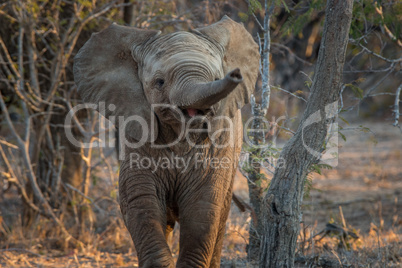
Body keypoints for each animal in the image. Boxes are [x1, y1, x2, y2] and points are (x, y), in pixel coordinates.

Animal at [73, 15, 260, 266]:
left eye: (216, 78)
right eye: (160, 82)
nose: (235, 75)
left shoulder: (218, 144)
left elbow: (202, 209)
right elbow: (142, 203)